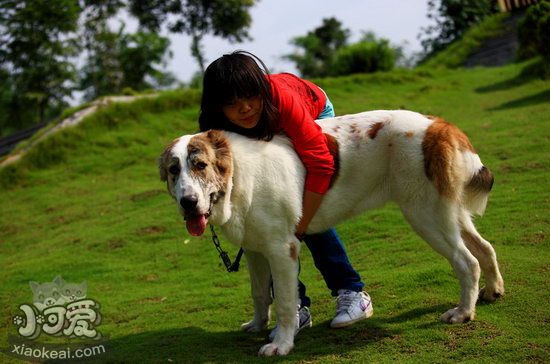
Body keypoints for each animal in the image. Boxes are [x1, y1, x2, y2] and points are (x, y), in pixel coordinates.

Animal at [158, 109, 504, 356]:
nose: (188, 202)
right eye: (174, 170)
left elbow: (285, 301)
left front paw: (281, 344)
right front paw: (257, 324)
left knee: (467, 261)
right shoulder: (256, 250)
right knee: (485, 247)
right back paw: (492, 291)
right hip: (449, 215)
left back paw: (463, 313)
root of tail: (439, 125)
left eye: (200, 165)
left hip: (426, 216)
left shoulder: (282, 250)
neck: (238, 176)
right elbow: (259, 293)